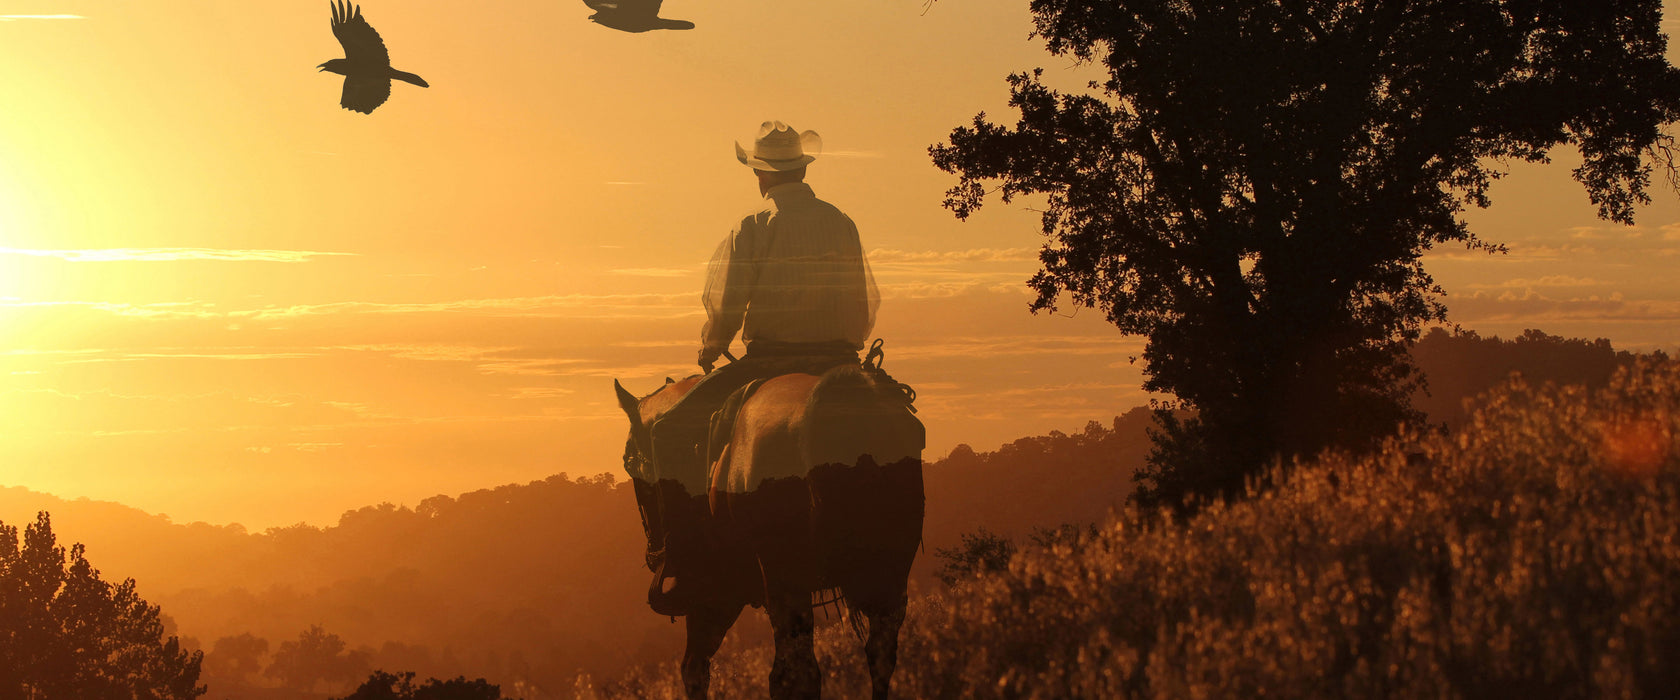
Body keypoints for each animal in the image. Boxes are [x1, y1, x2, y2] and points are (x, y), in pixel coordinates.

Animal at [618, 359, 927, 698]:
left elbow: (694, 669)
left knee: (795, 671)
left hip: (784, 579)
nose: (652, 554)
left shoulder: (715, 591)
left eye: (630, 463)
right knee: (879, 655)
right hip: (890, 571)